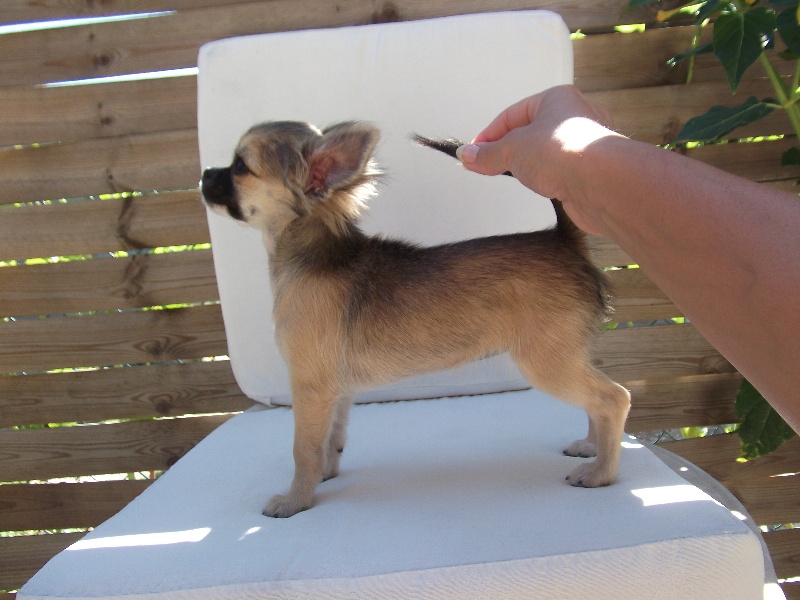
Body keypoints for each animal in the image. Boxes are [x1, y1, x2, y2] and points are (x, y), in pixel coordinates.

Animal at [201, 121, 631, 518]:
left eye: (240, 166)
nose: (205, 173)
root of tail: (564, 240)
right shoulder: (334, 392)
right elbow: (330, 439)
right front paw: (325, 475)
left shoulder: (309, 388)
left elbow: (302, 449)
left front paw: (295, 501)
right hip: (567, 357)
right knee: (598, 401)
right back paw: (591, 448)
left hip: (546, 362)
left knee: (614, 399)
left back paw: (601, 473)